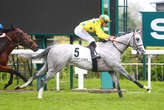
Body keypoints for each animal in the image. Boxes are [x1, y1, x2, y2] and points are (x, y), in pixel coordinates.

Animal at [16, 31, 150, 98]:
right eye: (138, 39)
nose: (143, 51)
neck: (113, 48)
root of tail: (52, 47)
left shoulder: (111, 69)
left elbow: (117, 84)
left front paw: (121, 97)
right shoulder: (117, 67)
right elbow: (131, 78)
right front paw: (146, 87)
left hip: (48, 66)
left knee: (36, 74)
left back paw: (21, 86)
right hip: (55, 68)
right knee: (43, 79)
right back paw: (39, 96)